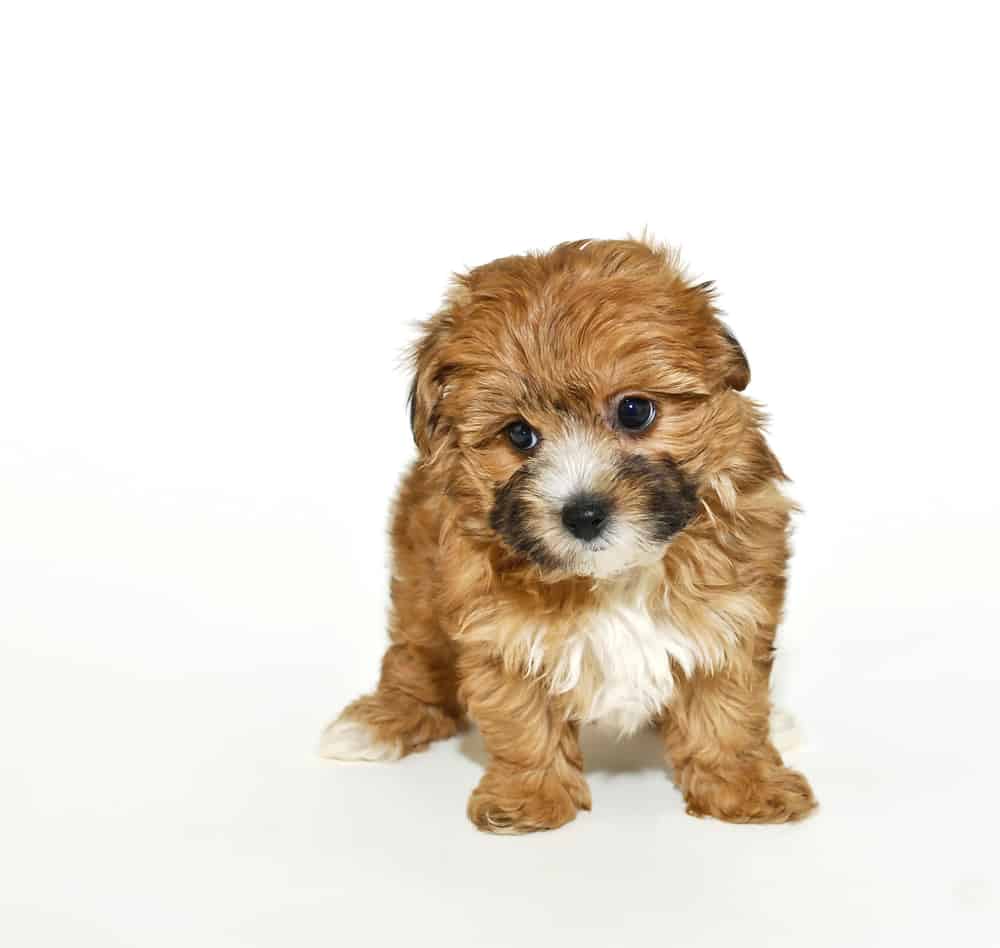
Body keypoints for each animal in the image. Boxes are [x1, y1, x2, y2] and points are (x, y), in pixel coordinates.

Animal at [324, 241, 816, 832]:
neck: (615, 576)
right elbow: (520, 716)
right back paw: (377, 722)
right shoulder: (497, 629)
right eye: (519, 434)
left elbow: (728, 711)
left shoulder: (731, 612)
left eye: (634, 410)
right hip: (420, 589)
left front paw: (745, 787)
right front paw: (529, 796)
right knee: (414, 659)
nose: (583, 514)